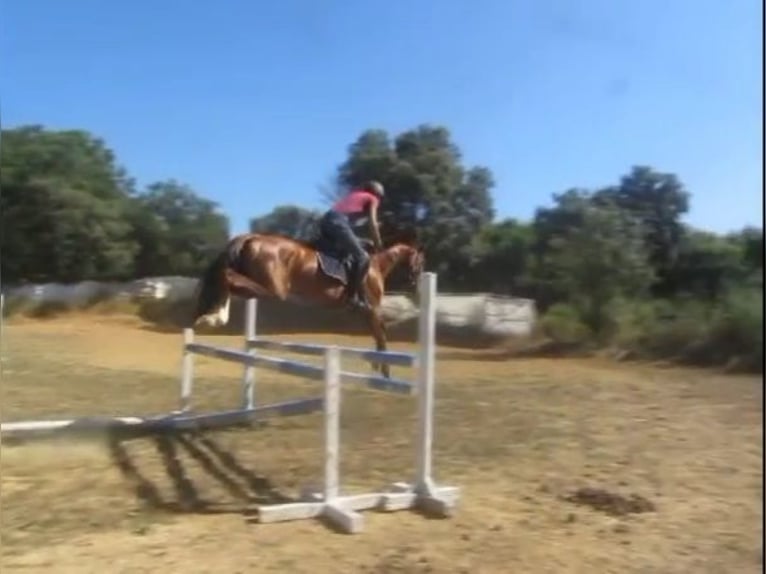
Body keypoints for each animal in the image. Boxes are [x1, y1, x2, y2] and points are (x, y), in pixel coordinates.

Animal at [191, 232, 426, 380]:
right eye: (421, 260)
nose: (415, 283)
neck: (377, 266)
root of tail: (250, 237)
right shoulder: (372, 308)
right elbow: (382, 335)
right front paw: (385, 371)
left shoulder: (367, 312)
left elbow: (378, 335)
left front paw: (378, 366)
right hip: (273, 289)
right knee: (227, 276)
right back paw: (211, 318)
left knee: (228, 280)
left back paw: (212, 317)